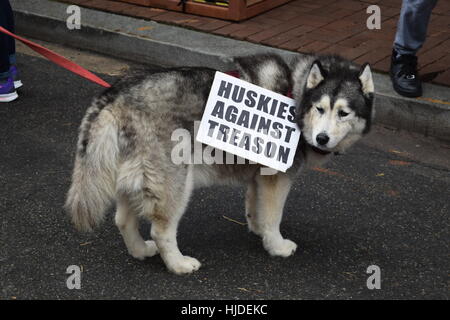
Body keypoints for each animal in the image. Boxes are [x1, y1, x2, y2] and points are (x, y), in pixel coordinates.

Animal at [65, 53, 374, 274]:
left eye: (343, 113)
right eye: (320, 109)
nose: (322, 138)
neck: (295, 96)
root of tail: (114, 94)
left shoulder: (259, 176)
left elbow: (256, 207)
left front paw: (258, 229)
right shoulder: (277, 178)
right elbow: (273, 216)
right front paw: (276, 245)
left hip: (136, 178)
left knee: (123, 219)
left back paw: (140, 250)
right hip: (174, 182)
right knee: (161, 230)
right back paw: (178, 264)